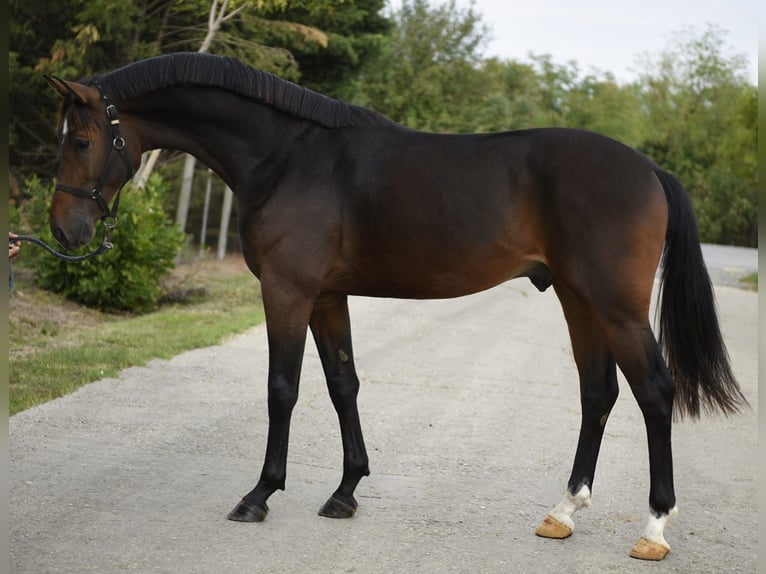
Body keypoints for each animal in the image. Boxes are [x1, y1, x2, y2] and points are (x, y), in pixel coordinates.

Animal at [44, 52, 746, 561]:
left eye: (80, 142)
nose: (64, 232)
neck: (289, 155)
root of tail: (649, 170)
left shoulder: (288, 291)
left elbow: (282, 388)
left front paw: (259, 495)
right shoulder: (327, 296)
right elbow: (343, 385)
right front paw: (346, 491)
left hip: (614, 306)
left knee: (655, 393)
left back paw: (653, 530)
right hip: (579, 299)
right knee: (598, 394)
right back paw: (562, 513)